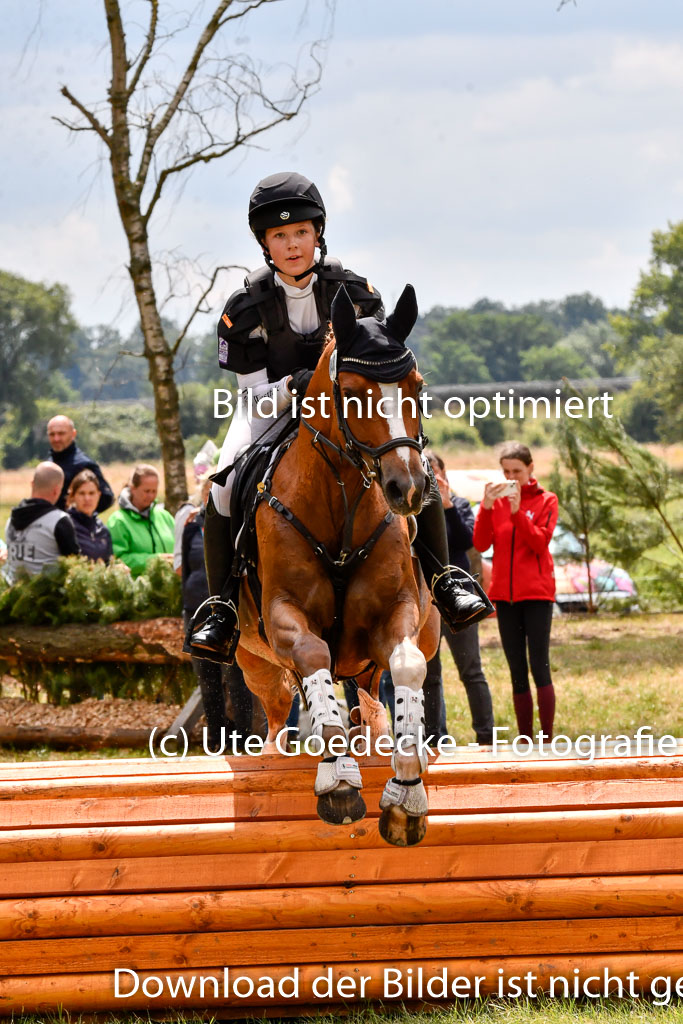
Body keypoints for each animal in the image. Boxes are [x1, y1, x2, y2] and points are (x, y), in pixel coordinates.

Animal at [236, 284, 438, 843]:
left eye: (417, 387)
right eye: (350, 392)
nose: (408, 489)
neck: (340, 501)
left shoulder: (396, 614)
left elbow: (408, 666)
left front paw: (406, 791)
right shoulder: (285, 616)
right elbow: (313, 657)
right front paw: (338, 779)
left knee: (367, 698)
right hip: (253, 663)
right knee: (278, 712)